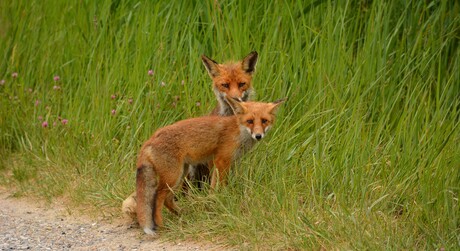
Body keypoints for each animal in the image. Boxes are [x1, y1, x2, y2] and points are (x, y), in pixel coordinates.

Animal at [136, 96, 284, 235]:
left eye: (264, 121)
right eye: (250, 121)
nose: (258, 136)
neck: (239, 132)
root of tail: (150, 139)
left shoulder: (223, 162)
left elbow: (214, 187)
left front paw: (212, 204)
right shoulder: (222, 160)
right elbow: (218, 187)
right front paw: (218, 202)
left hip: (179, 175)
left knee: (168, 199)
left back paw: (183, 215)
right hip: (173, 177)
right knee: (157, 197)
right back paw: (162, 225)